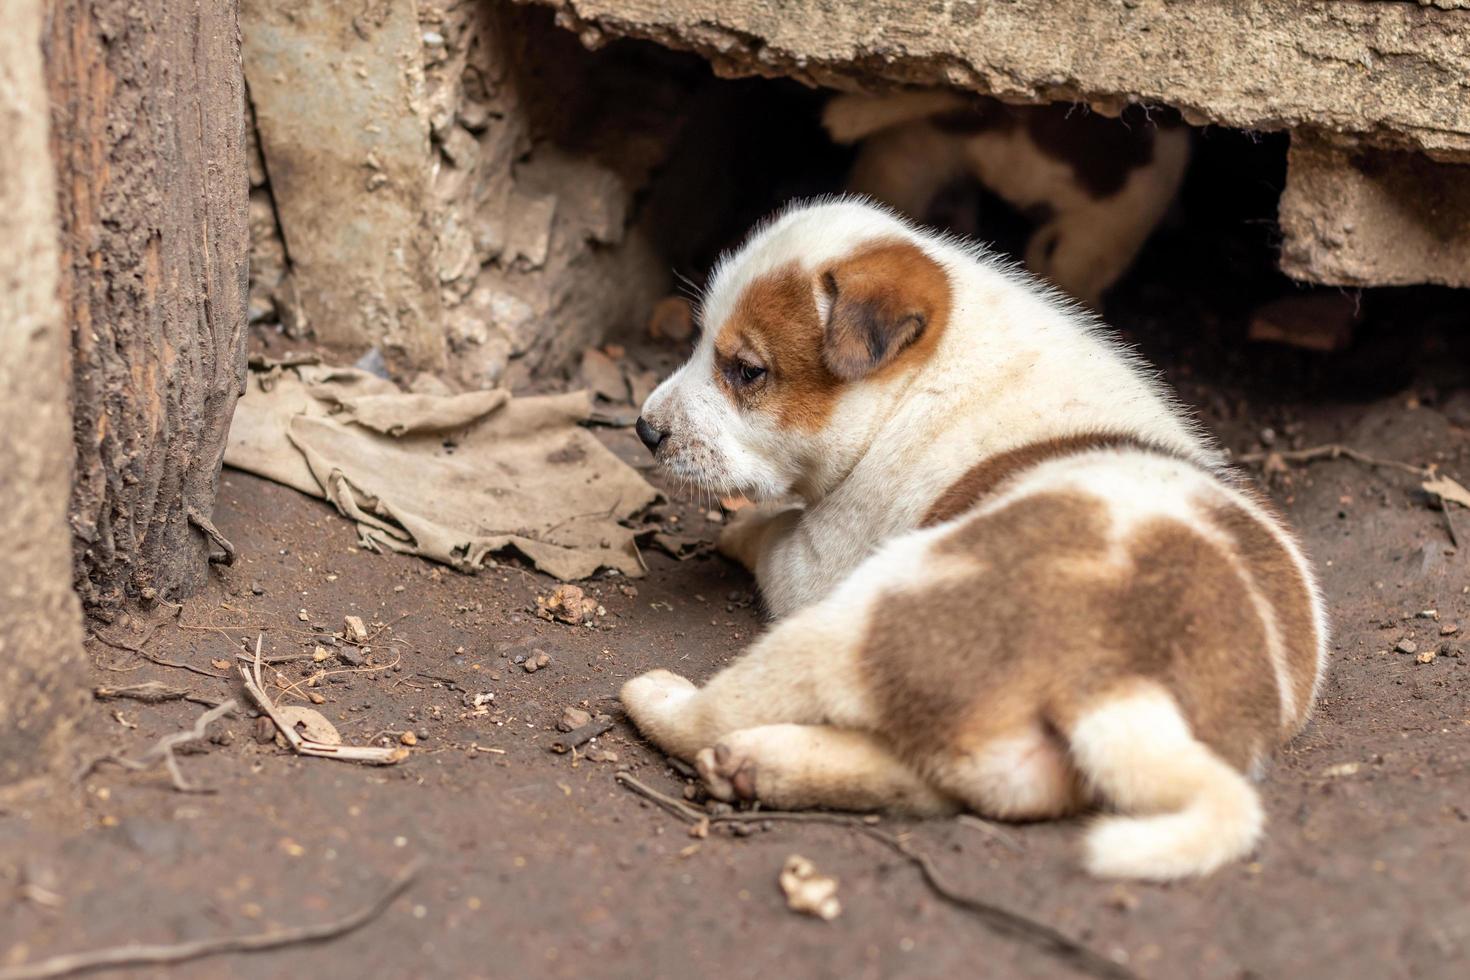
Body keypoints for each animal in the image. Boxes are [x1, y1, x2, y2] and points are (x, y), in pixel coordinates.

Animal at [626, 199, 1328, 881]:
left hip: (859, 617)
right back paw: (758, 763)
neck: (926, 372)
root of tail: (1115, 682)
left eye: (746, 371)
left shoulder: (820, 556)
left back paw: (661, 699)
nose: (644, 430)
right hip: (1005, 764)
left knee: (715, 714)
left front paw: (737, 530)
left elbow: (771, 531)